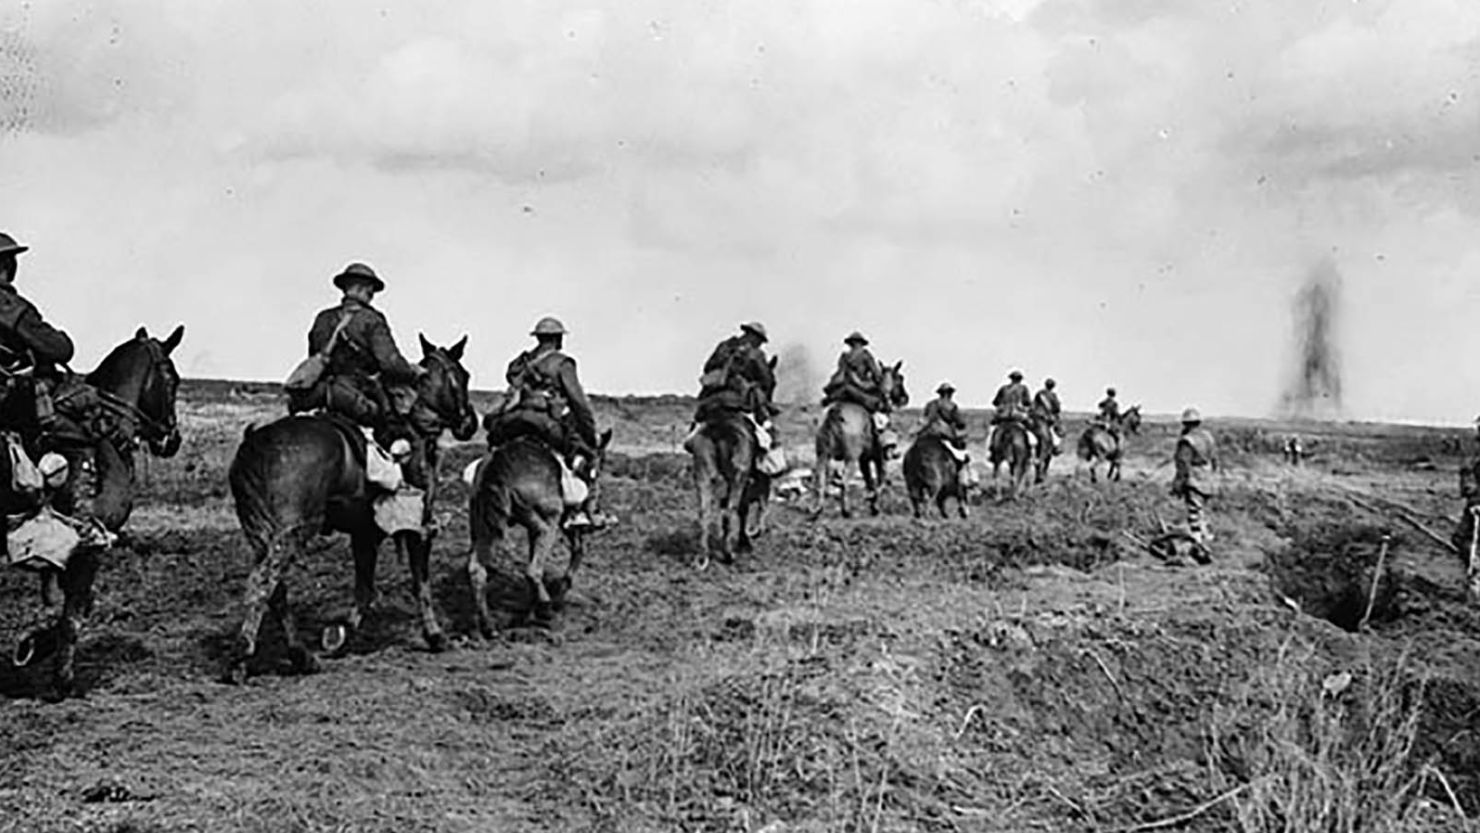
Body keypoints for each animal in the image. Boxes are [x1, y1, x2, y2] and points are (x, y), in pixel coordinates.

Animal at [7, 322, 185, 701]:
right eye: (172, 378)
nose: (172, 439)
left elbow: (61, 599)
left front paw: (36, 642)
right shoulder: (88, 549)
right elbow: (74, 612)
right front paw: (60, 677)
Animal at [222, 335, 476, 686]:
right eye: (462, 376)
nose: (470, 423)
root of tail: (256, 442)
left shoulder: (364, 533)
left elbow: (364, 588)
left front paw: (340, 635)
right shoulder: (418, 528)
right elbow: (419, 582)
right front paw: (436, 636)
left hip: (261, 534)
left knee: (276, 589)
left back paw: (300, 656)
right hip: (291, 532)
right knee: (264, 582)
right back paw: (244, 655)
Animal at [467, 426, 618, 636]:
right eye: (600, 461)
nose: (596, 511)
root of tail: (498, 465)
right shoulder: (561, 521)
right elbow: (578, 549)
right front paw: (559, 591)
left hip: (484, 527)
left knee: (477, 570)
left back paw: (488, 625)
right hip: (548, 526)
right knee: (533, 569)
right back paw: (546, 607)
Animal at [816, 362, 905, 517]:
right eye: (899, 379)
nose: (905, 398)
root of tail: (835, 412)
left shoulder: (864, 460)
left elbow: (870, 481)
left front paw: (873, 503)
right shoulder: (880, 457)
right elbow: (881, 480)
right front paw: (874, 503)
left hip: (822, 455)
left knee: (821, 481)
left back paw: (818, 509)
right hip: (850, 458)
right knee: (844, 481)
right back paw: (846, 510)